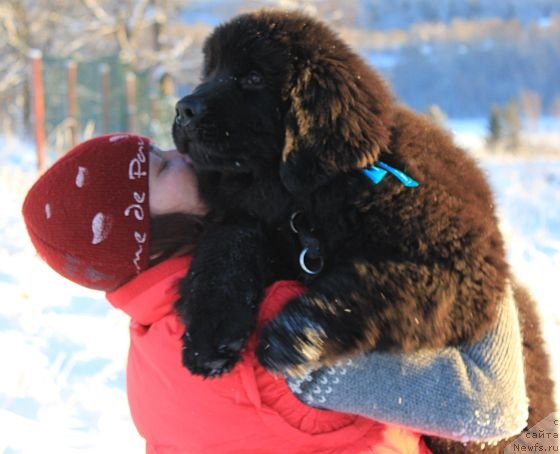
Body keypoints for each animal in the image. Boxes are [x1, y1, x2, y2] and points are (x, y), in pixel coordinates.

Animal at [171, 10, 556, 450]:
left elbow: (381, 284)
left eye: (252, 77)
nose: (182, 109)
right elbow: (231, 240)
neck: (311, 198)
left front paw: (300, 333)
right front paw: (210, 331)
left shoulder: (465, 271)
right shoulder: (259, 225)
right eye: (210, 73)